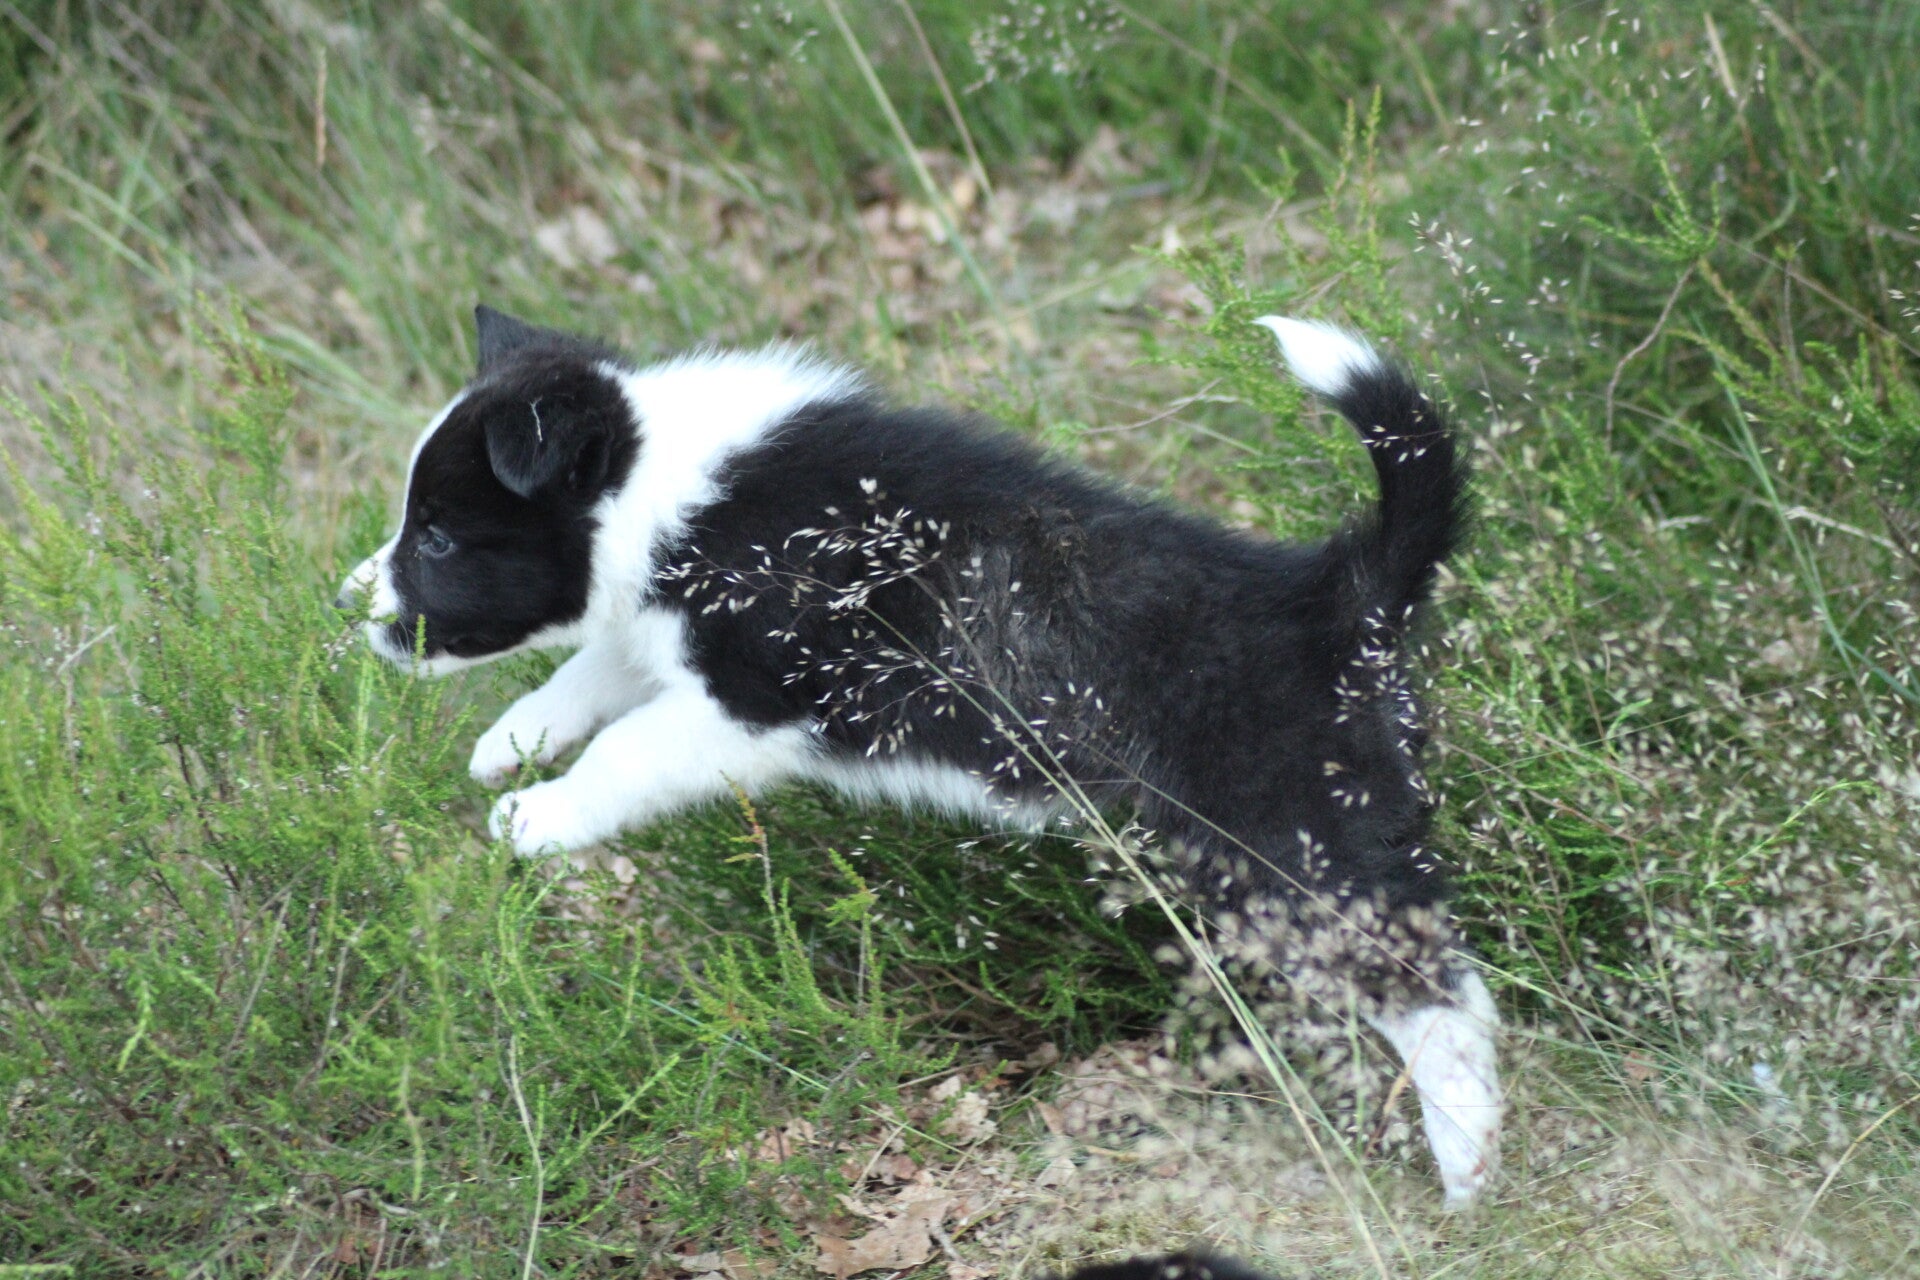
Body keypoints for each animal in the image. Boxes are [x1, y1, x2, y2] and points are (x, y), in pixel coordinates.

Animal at [339, 305, 1501, 1206]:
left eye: (436, 536)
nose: (353, 608)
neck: (662, 490)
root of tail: (1342, 596)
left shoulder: (752, 704)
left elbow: (628, 743)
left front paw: (539, 816)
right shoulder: (672, 646)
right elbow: (595, 667)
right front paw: (510, 743)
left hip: (1293, 857)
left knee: (1445, 1000)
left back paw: (1467, 1169)